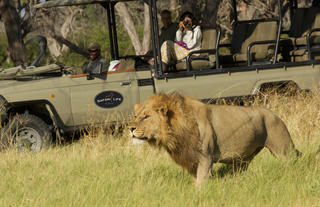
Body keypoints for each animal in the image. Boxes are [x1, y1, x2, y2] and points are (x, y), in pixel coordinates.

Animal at [127, 93, 300, 184]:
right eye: (135, 116)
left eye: (146, 116)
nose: (130, 128)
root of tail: (275, 114)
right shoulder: (191, 158)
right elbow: (195, 179)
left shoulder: (205, 157)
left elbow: (201, 181)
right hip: (243, 160)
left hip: (284, 149)